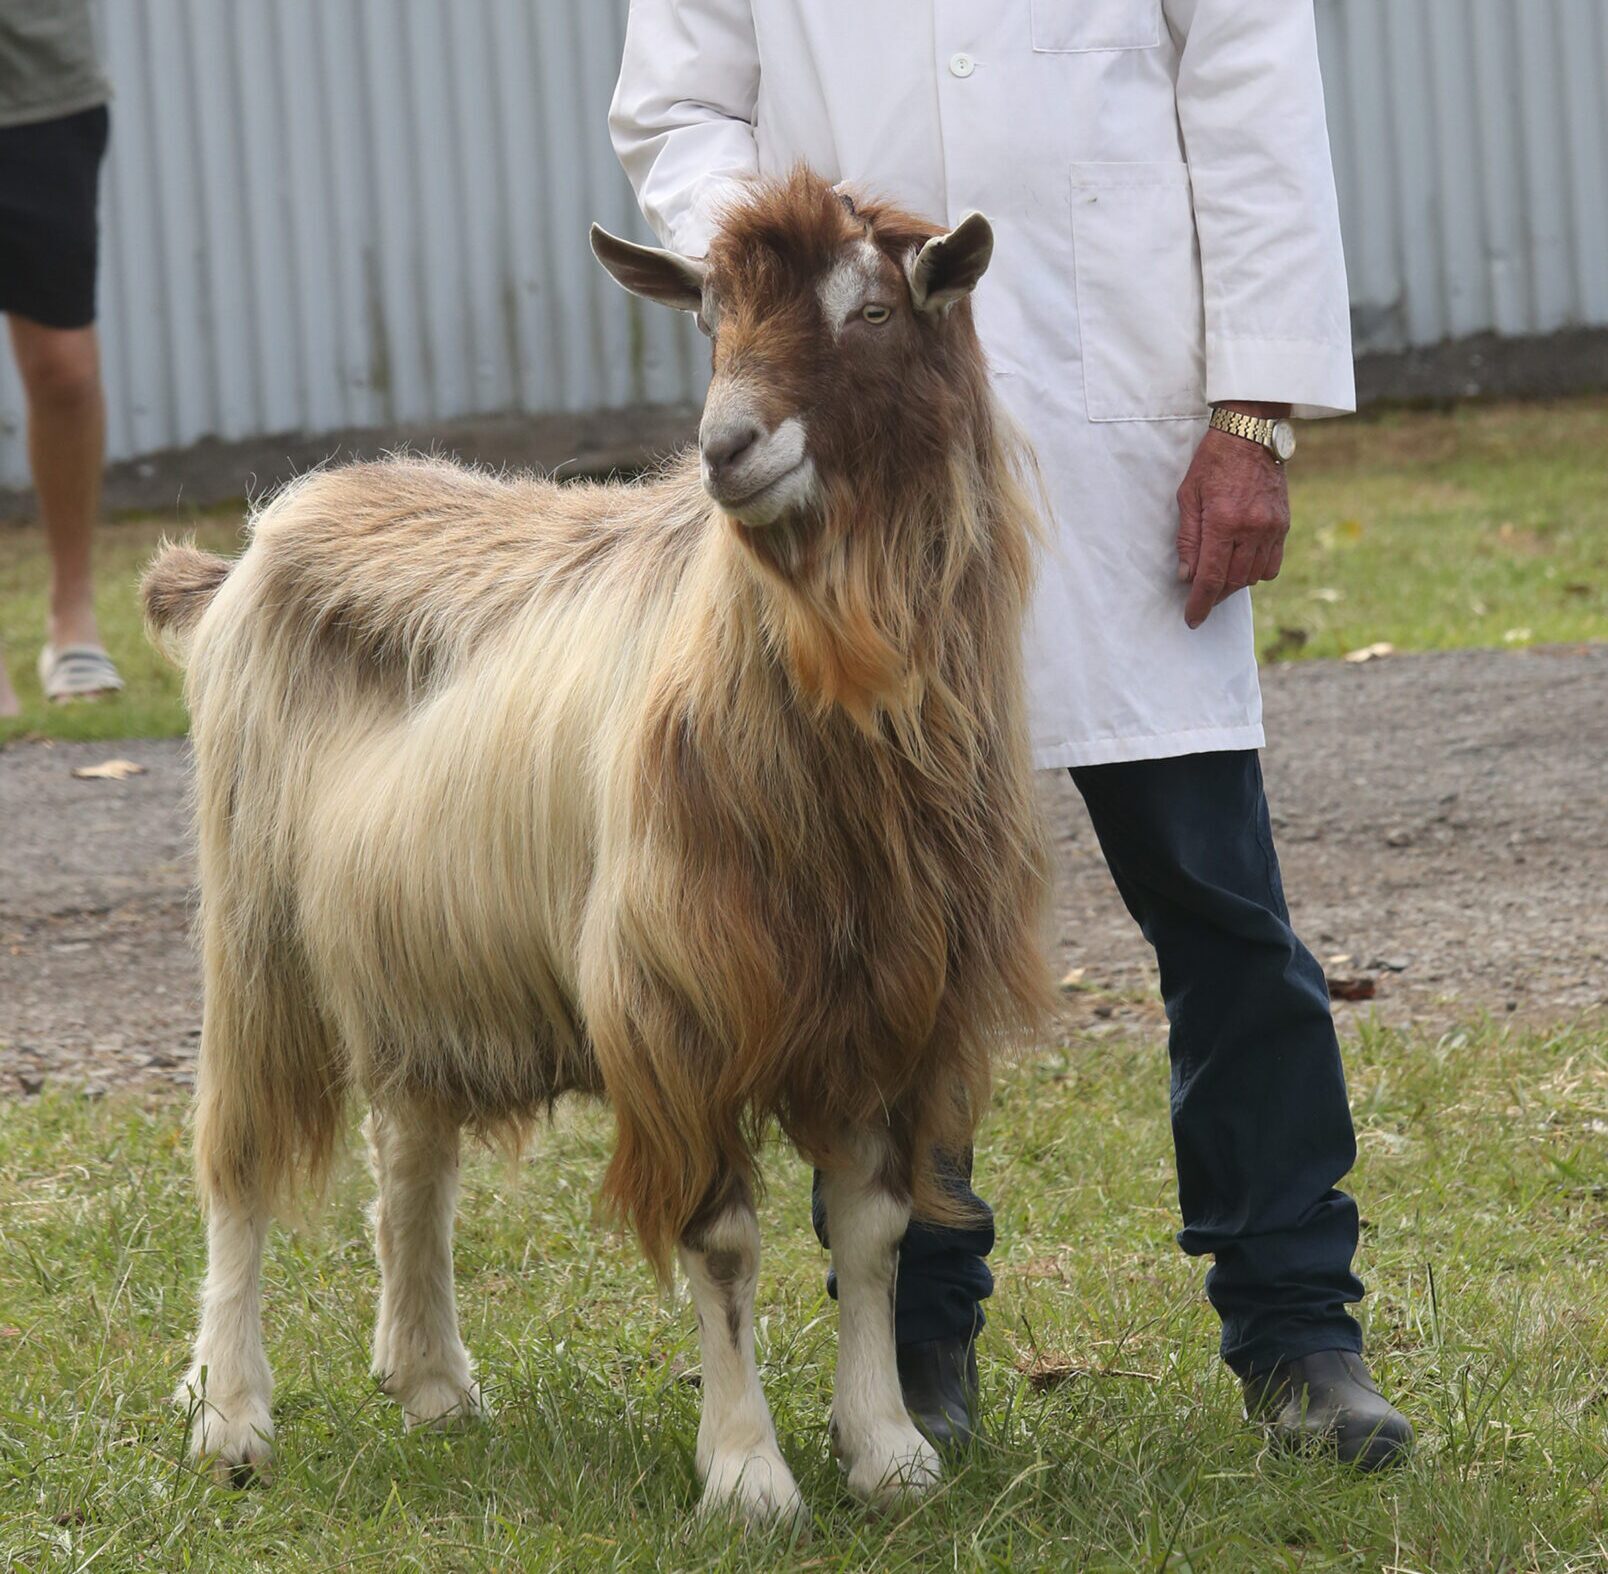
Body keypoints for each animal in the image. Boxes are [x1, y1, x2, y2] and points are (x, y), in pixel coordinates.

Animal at [144, 169, 1051, 1522]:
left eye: (875, 310)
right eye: (710, 320)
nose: (728, 448)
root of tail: (265, 534)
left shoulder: (884, 999)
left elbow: (875, 1229)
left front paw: (889, 1448)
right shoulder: (682, 1004)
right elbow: (724, 1245)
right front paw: (748, 1472)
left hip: (411, 933)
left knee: (409, 1146)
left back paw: (430, 1379)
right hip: (257, 922)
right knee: (238, 1165)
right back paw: (231, 1413)